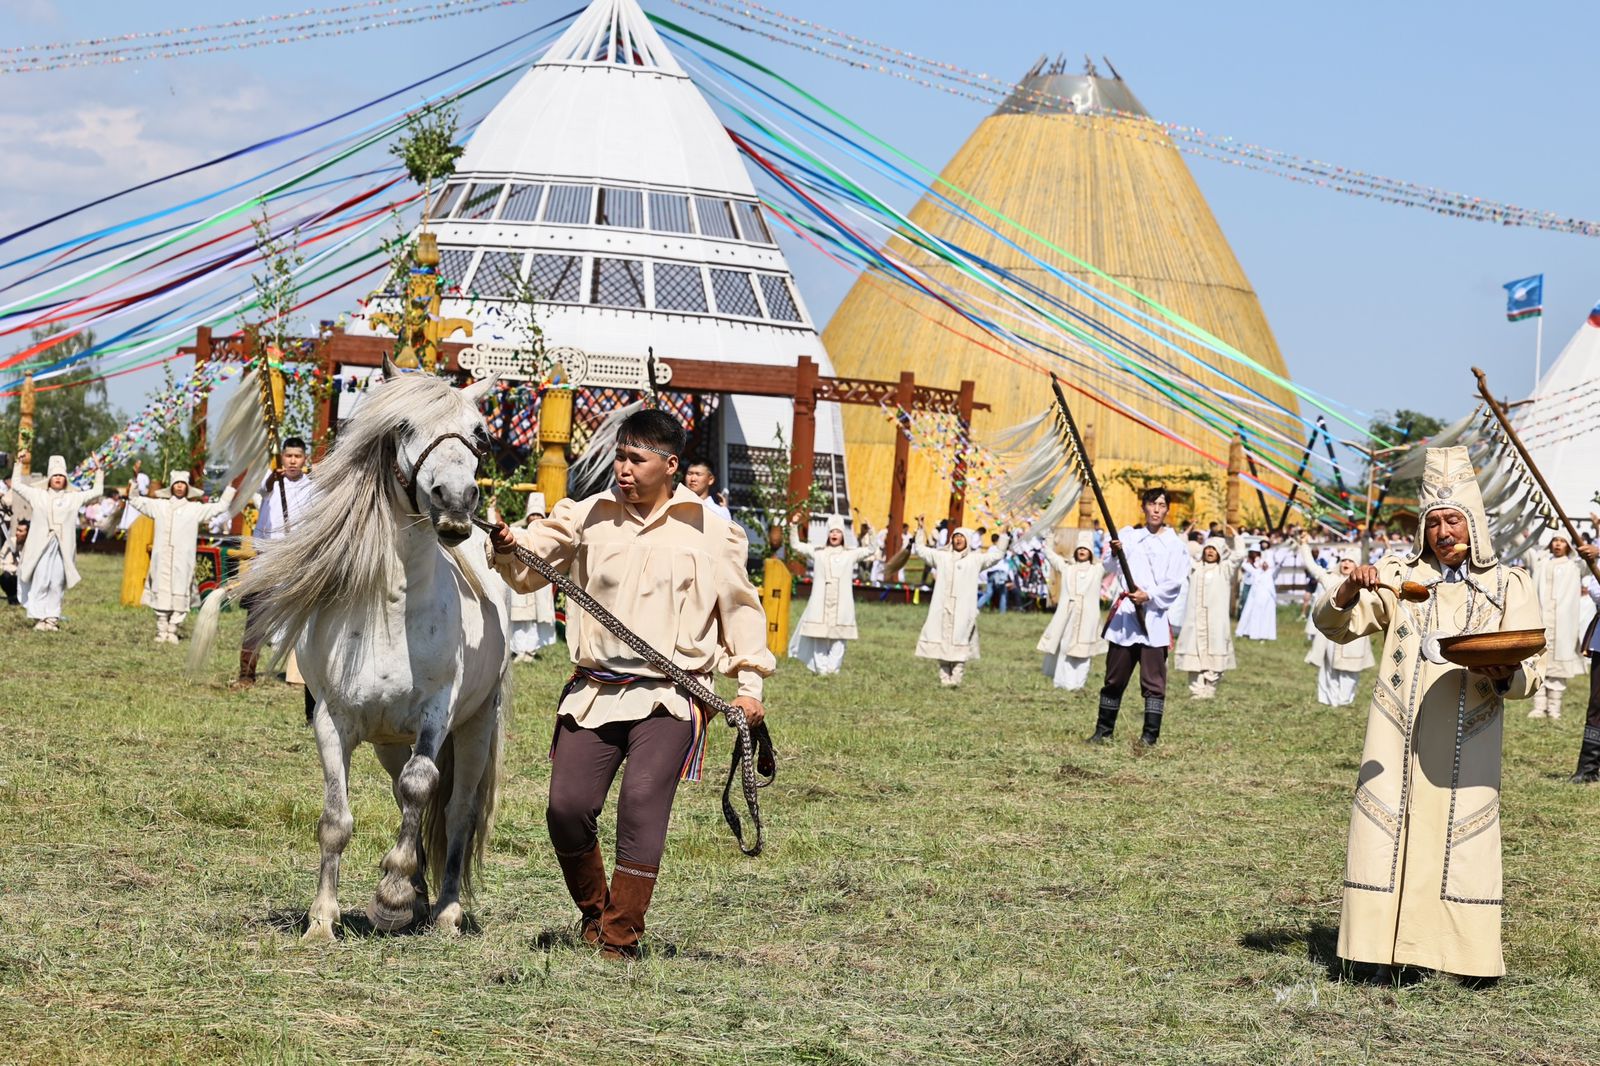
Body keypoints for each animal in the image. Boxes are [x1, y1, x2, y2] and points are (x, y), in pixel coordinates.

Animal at [190, 358, 508, 941]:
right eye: (404, 426)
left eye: (479, 434)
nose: (455, 502)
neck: (391, 607)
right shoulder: (333, 720)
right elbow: (336, 820)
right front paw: (324, 918)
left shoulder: (437, 715)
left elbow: (422, 786)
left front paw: (391, 896)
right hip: (388, 740)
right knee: (405, 796)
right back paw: (420, 898)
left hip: (475, 726)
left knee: (455, 811)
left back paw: (445, 911)